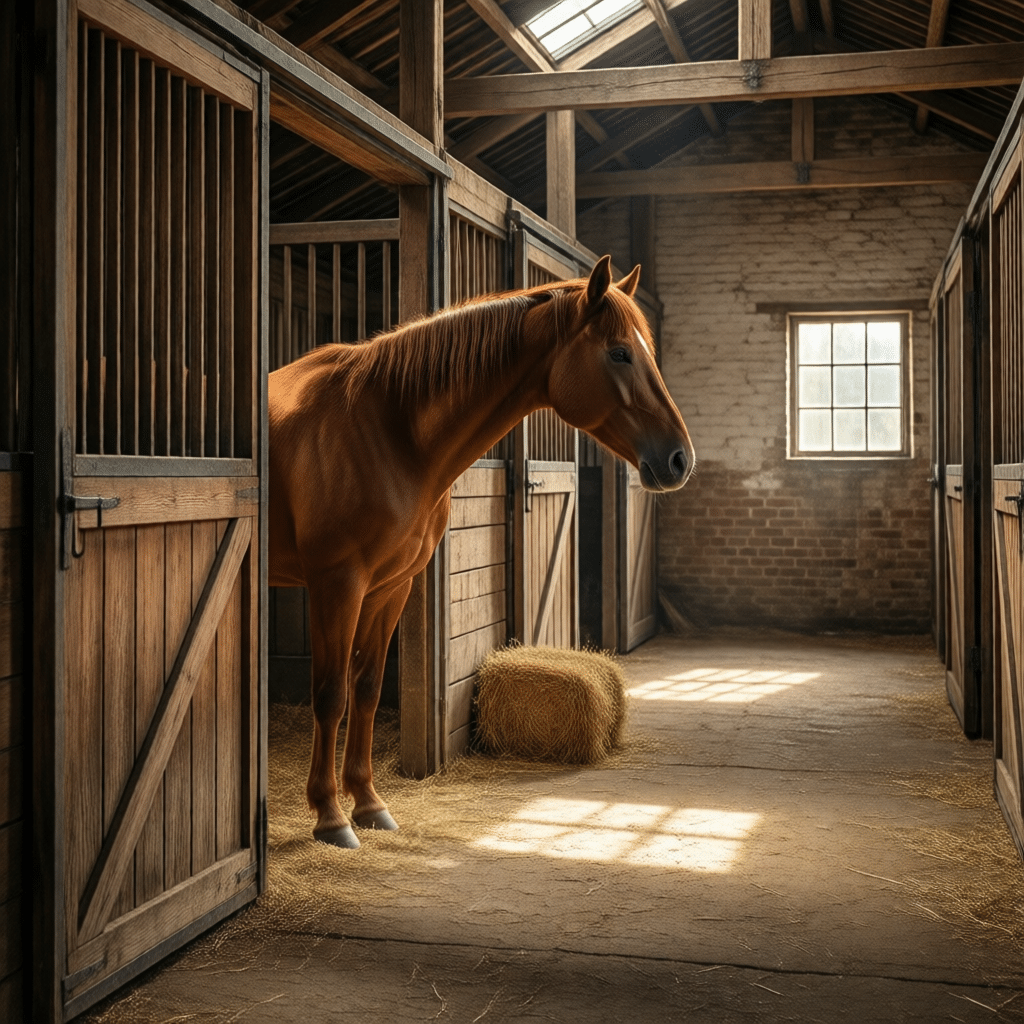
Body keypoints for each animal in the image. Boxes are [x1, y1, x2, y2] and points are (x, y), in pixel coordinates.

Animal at [268, 255, 695, 848]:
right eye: (618, 352)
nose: (680, 459)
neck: (385, 429)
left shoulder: (391, 585)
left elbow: (368, 688)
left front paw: (370, 805)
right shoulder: (337, 583)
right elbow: (332, 694)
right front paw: (331, 816)